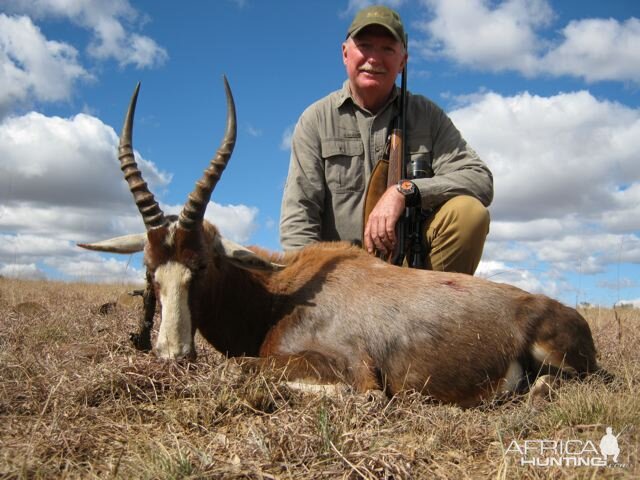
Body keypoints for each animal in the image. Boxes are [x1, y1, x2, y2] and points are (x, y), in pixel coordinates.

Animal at [80, 78, 604, 404]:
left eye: (203, 264)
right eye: (149, 268)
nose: (172, 357)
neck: (283, 294)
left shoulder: (355, 373)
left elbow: (245, 369)